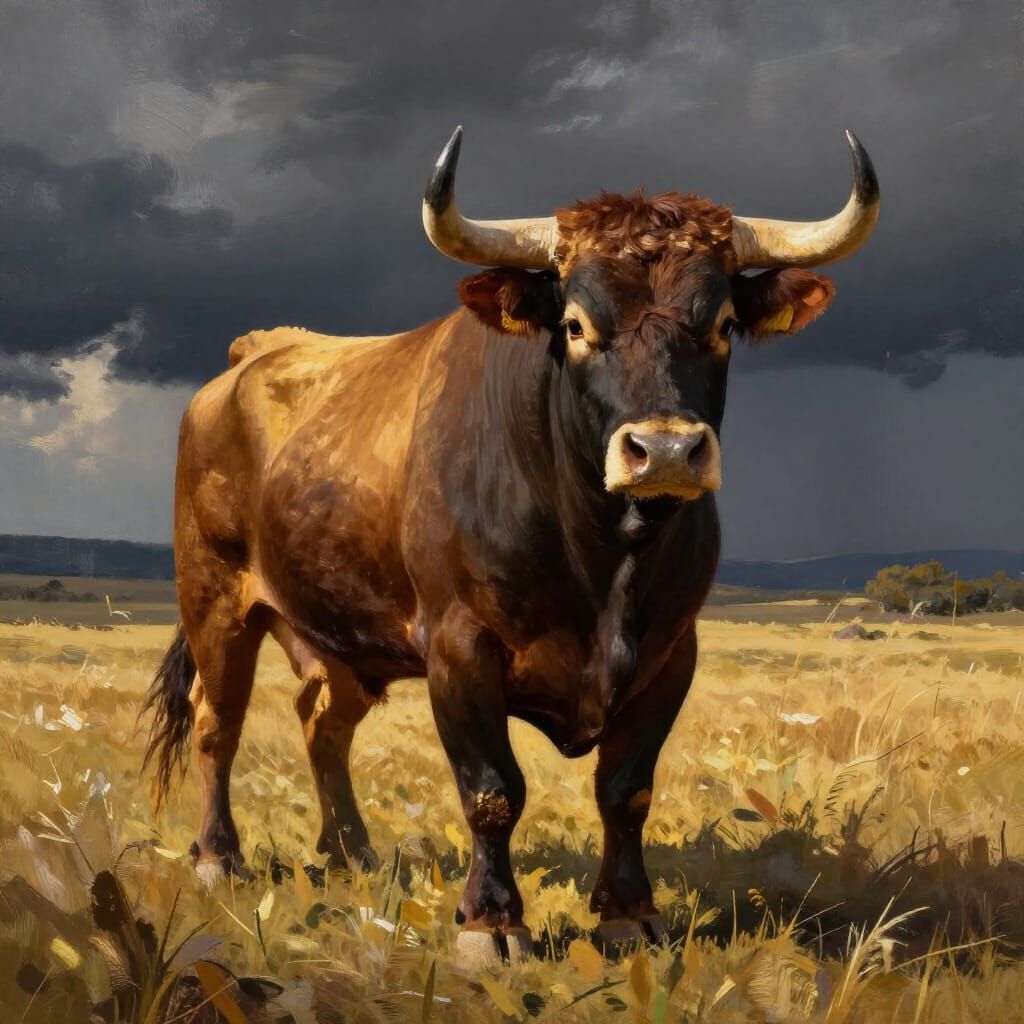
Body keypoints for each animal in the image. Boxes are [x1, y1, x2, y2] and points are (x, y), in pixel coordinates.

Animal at [143, 126, 878, 962]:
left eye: (723, 325)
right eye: (576, 326)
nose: (663, 451)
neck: (602, 557)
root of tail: (248, 361)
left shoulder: (671, 652)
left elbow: (626, 791)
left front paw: (629, 913)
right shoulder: (460, 647)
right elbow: (492, 789)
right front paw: (492, 922)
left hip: (343, 638)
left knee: (322, 725)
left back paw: (352, 853)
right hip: (215, 604)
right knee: (217, 724)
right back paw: (217, 857)